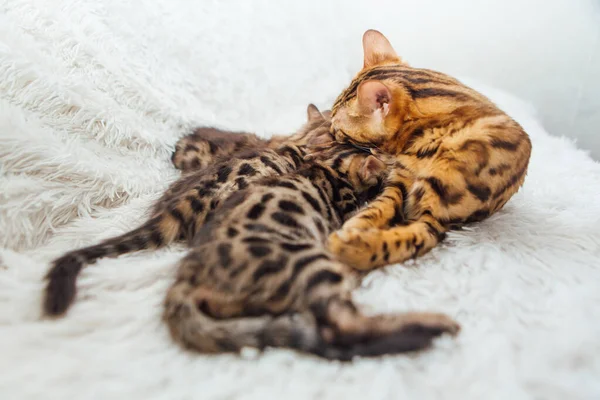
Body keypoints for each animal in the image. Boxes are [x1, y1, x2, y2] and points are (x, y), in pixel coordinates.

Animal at [162, 138, 458, 362]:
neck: (328, 168)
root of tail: (185, 276)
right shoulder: (347, 211)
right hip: (307, 261)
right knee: (341, 328)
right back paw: (429, 325)